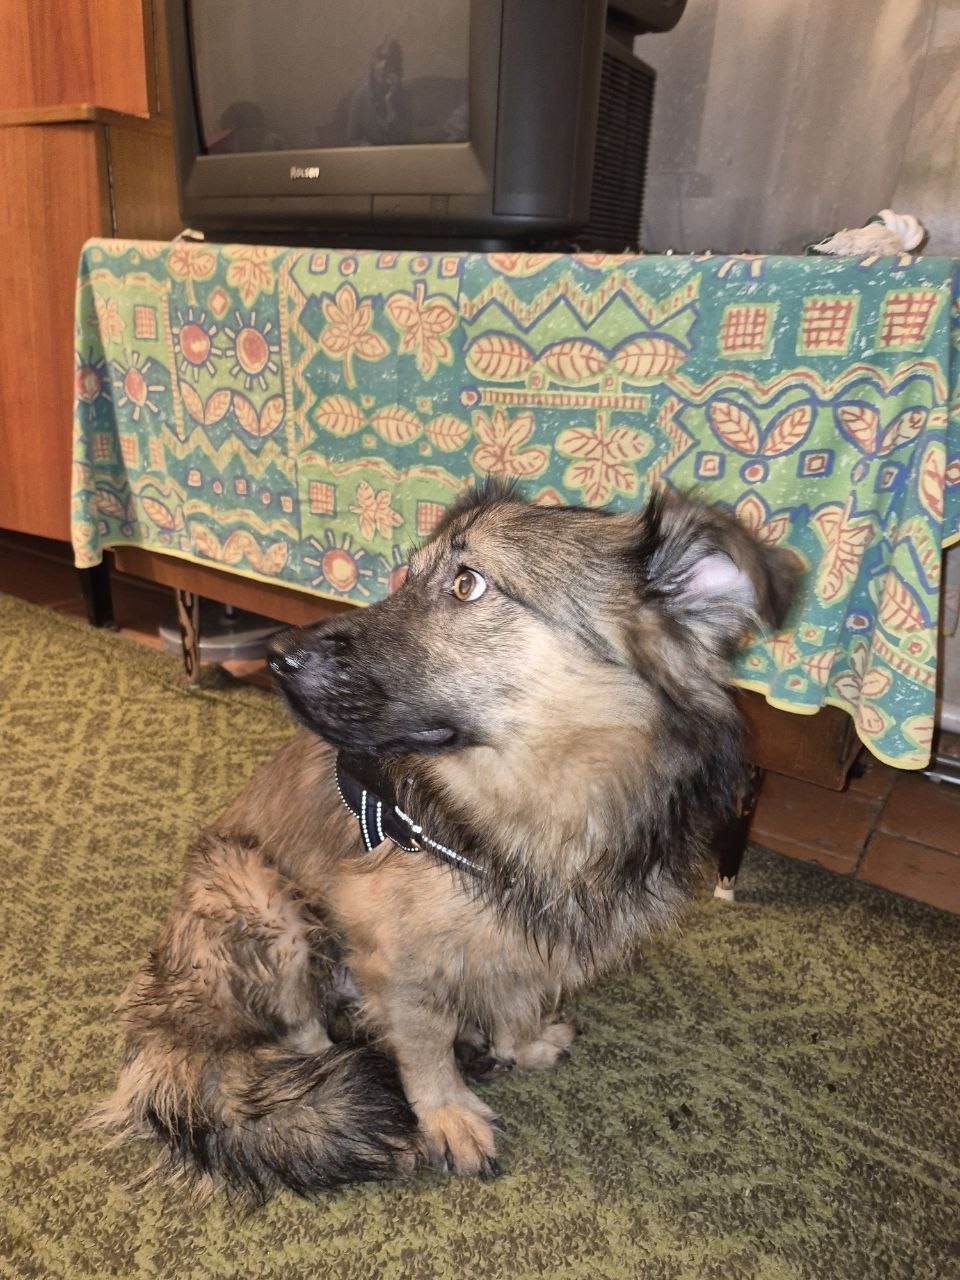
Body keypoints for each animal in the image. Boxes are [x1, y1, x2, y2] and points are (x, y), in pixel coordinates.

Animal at [94, 483, 796, 1202]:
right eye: (407, 576)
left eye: (466, 584)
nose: (278, 657)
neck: (543, 809)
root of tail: (167, 990)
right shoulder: (391, 944)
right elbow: (425, 1040)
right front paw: (446, 1113)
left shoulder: (531, 934)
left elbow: (520, 988)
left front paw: (519, 1042)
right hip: (262, 899)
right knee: (303, 1037)